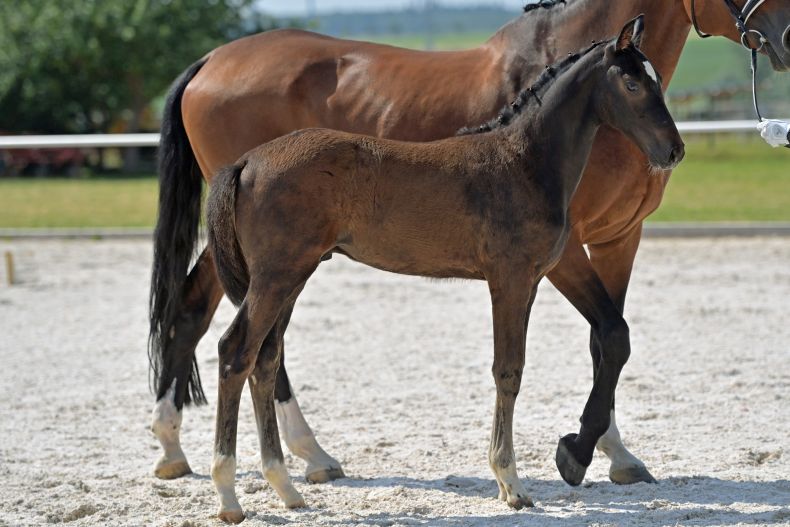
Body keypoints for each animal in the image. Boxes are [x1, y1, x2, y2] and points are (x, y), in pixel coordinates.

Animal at [206, 17, 688, 524]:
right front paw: (512, 484)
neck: (524, 161)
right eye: (632, 83)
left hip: (291, 279)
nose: (673, 150)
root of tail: (246, 161)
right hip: (275, 277)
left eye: (656, 78)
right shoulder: (509, 280)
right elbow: (508, 371)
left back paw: (285, 488)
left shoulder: (531, 283)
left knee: (265, 360)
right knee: (235, 352)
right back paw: (229, 495)